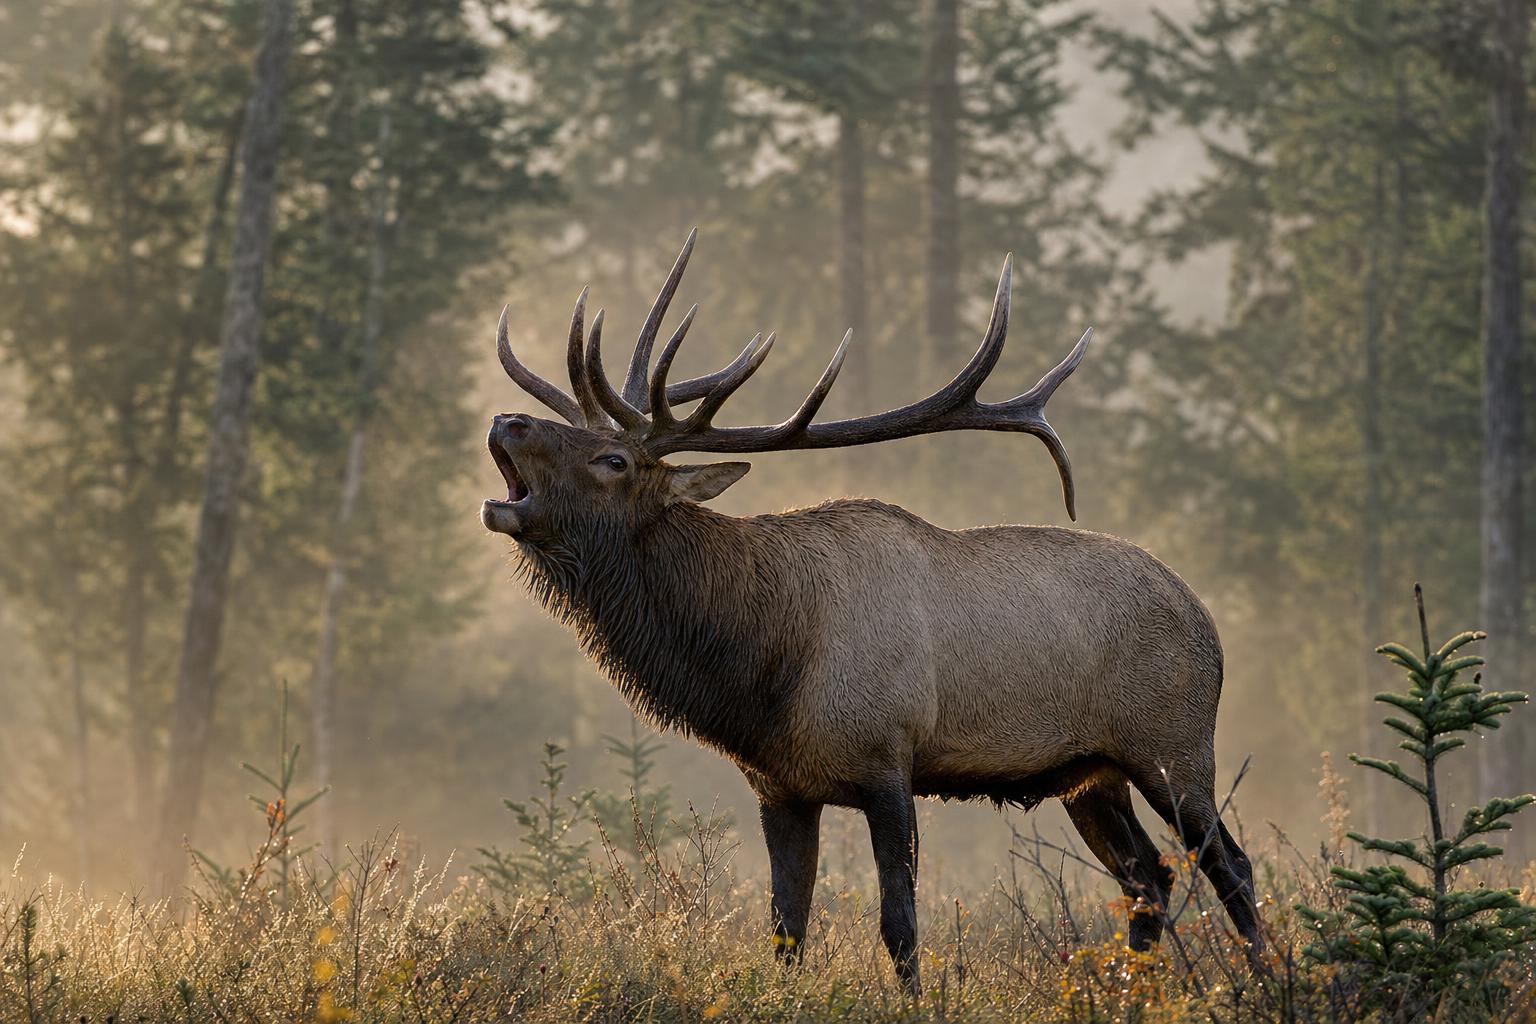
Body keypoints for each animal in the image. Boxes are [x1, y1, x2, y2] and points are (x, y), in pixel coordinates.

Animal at [480, 232, 1261, 993]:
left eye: (613, 460)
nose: (506, 420)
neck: (766, 667)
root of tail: (1209, 623)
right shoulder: (782, 787)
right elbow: (786, 931)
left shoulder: (889, 760)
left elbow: (900, 927)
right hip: (1089, 774)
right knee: (1148, 878)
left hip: (1173, 745)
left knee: (1229, 865)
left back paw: (1264, 978)